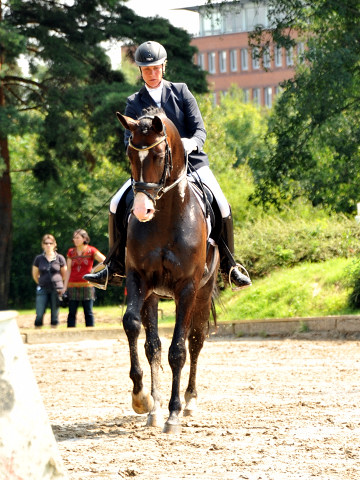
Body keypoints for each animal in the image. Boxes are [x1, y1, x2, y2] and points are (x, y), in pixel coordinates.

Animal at [116, 109, 219, 436]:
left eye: (159, 155)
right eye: (130, 154)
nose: (141, 211)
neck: (165, 218)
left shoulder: (187, 288)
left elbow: (178, 351)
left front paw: (173, 413)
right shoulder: (140, 280)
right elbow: (136, 330)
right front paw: (144, 400)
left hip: (202, 293)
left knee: (195, 341)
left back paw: (189, 401)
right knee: (154, 345)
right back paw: (156, 405)